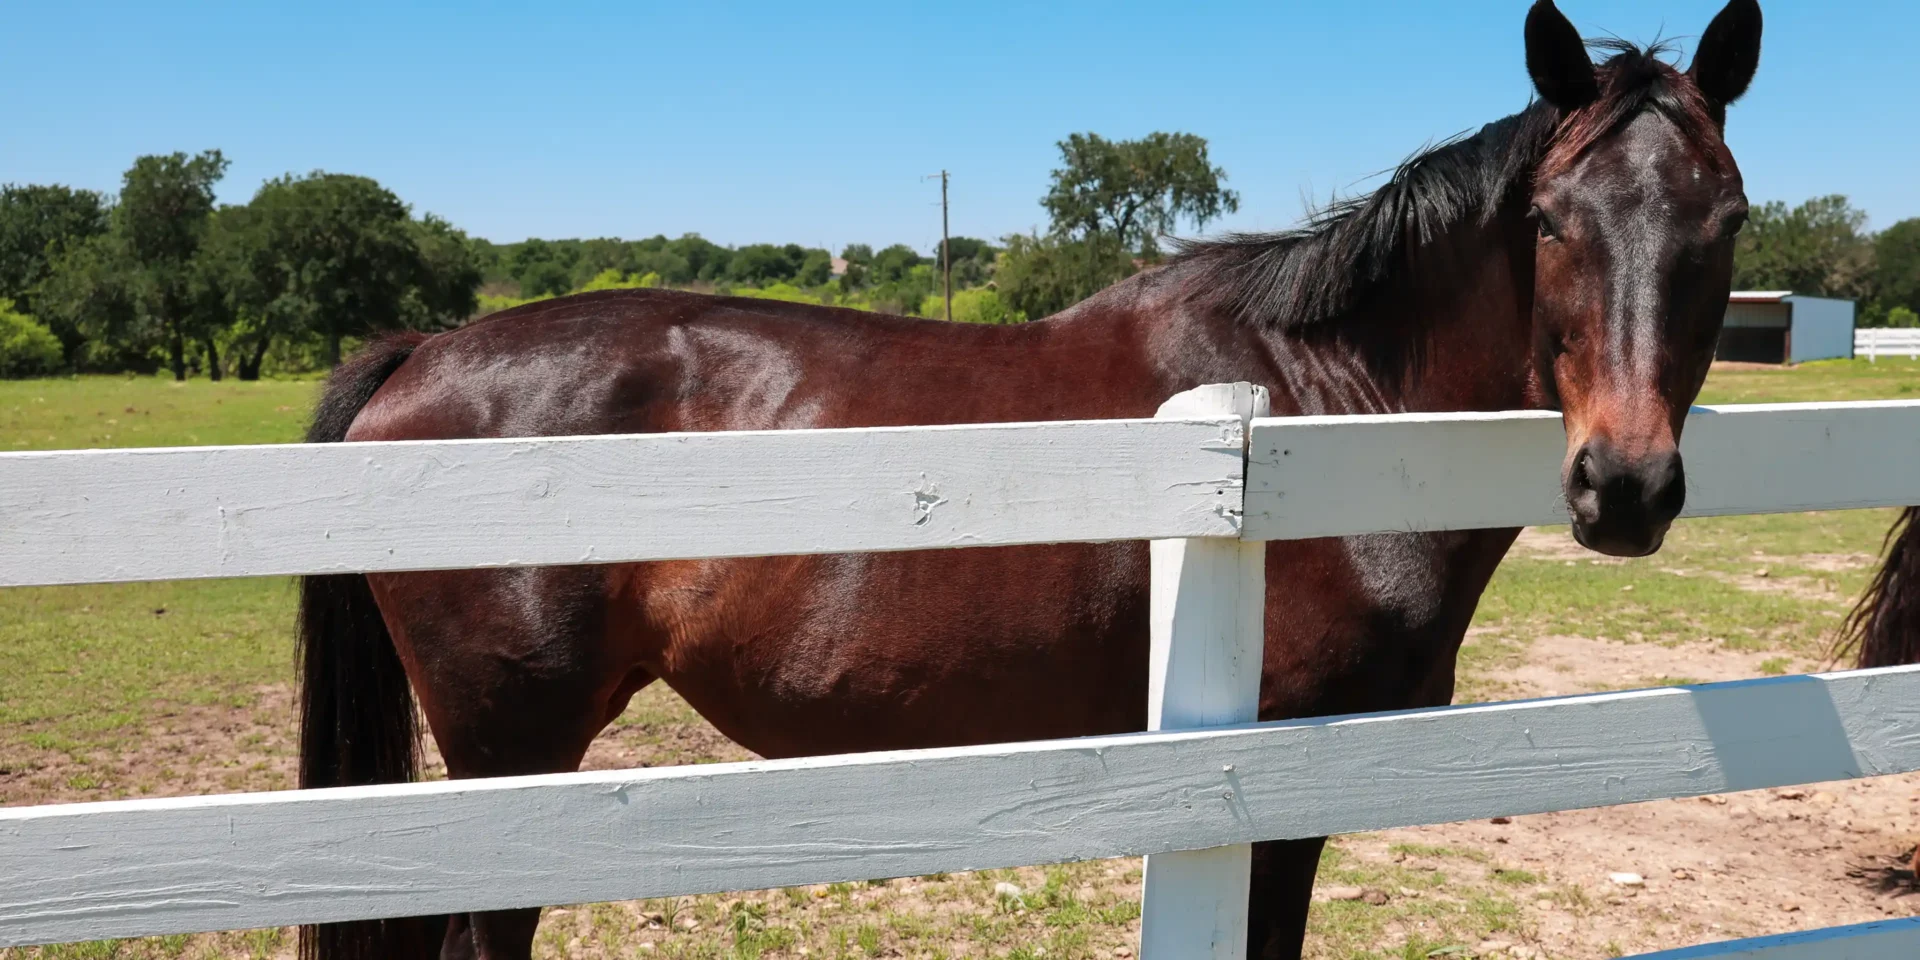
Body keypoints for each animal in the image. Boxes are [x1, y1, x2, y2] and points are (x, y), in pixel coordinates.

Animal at [295, 3, 1758, 956]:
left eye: (1727, 219)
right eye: (1550, 222)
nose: (1625, 484)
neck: (1323, 409)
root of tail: (427, 351)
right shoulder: (1280, 789)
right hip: (509, 759)